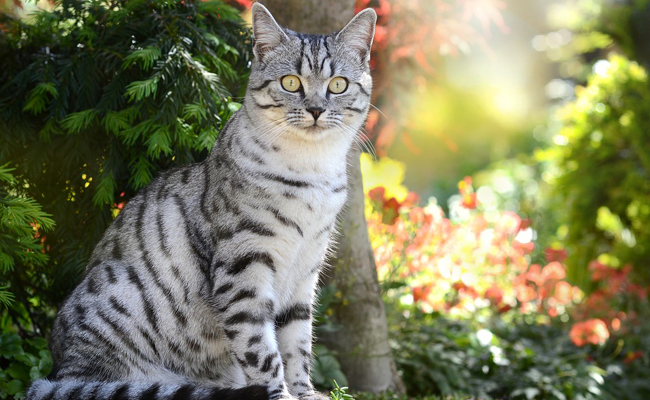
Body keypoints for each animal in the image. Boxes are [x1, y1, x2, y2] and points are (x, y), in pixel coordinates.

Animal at [26, 2, 374, 400]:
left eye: (338, 85)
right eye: (290, 82)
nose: (316, 109)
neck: (311, 172)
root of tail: (60, 374)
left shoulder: (304, 272)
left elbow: (297, 344)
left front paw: (304, 392)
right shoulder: (242, 270)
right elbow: (262, 351)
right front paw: (280, 393)